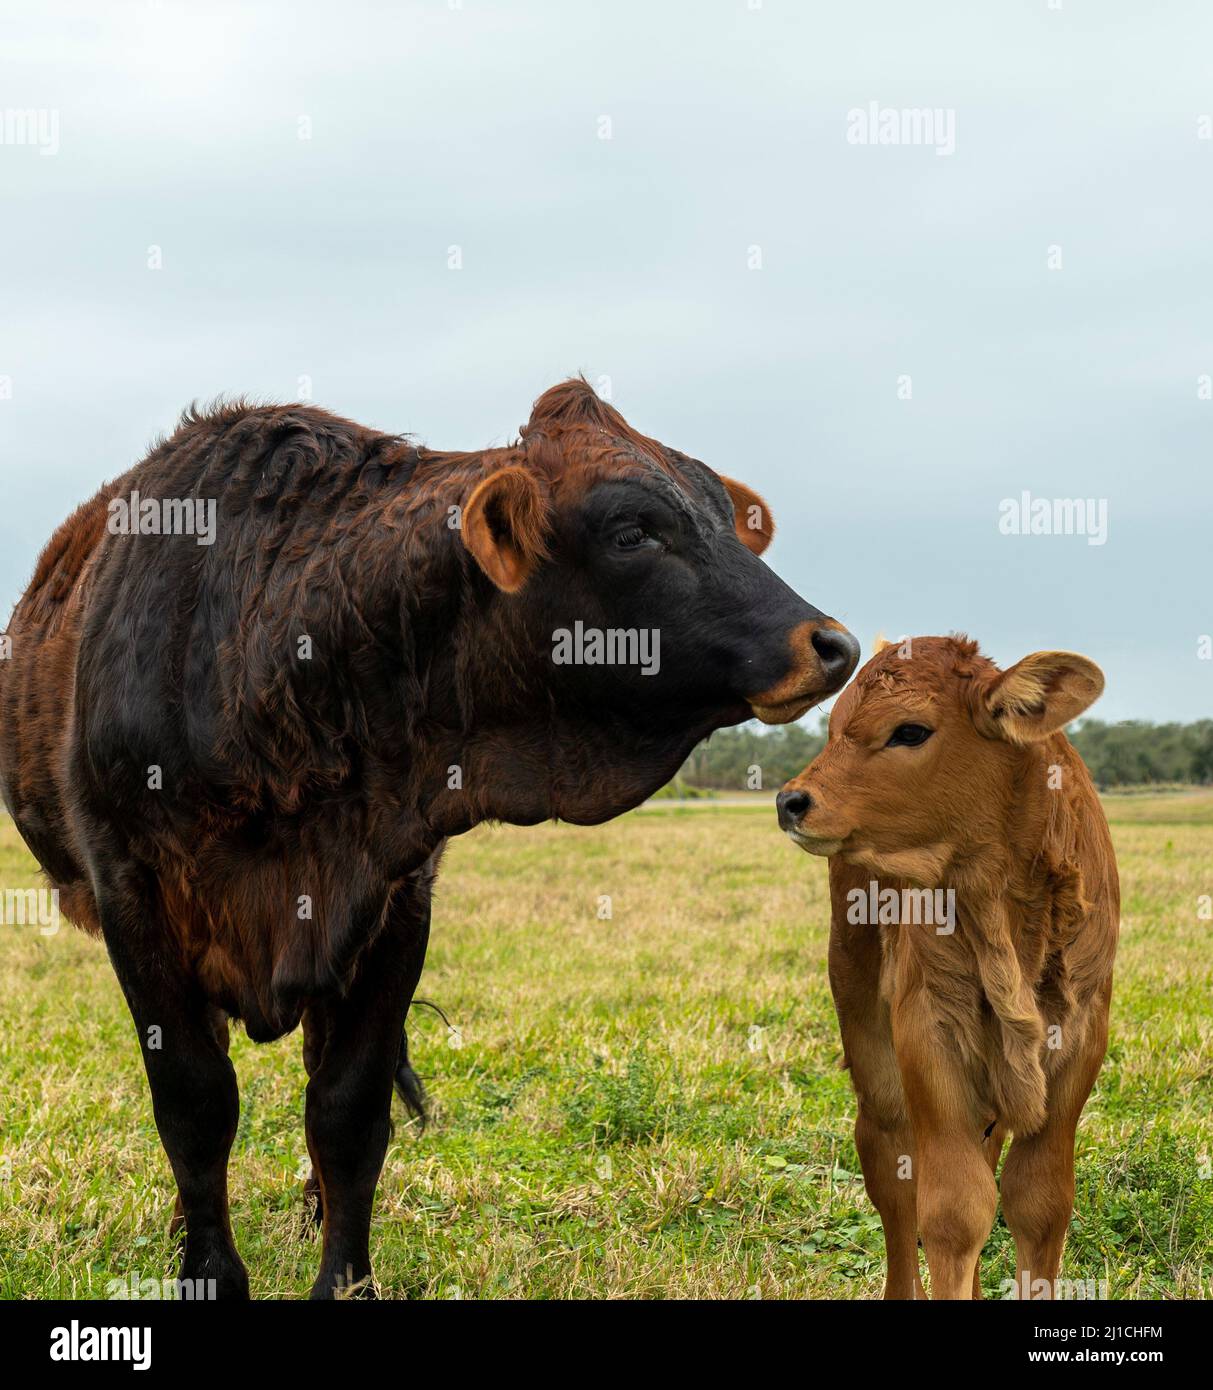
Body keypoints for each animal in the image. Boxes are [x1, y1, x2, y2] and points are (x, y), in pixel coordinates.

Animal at [0, 378, 850, 1289]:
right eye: (632, 532)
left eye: (724, 519)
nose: (830, 642)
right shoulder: (134, 899)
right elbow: (194, 1103)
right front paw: (209, 1270)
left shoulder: (394, 901)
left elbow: (345, 1111)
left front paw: (345, 1279)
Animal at [778, 636, 1117, 1295]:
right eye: (832, 727)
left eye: (910, 731)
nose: (791, 801)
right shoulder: (928, 1034)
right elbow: (954, 1213)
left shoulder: (1081, 1040)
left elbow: (1040, 1203)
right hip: (869, 1038)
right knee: (891, 1170)